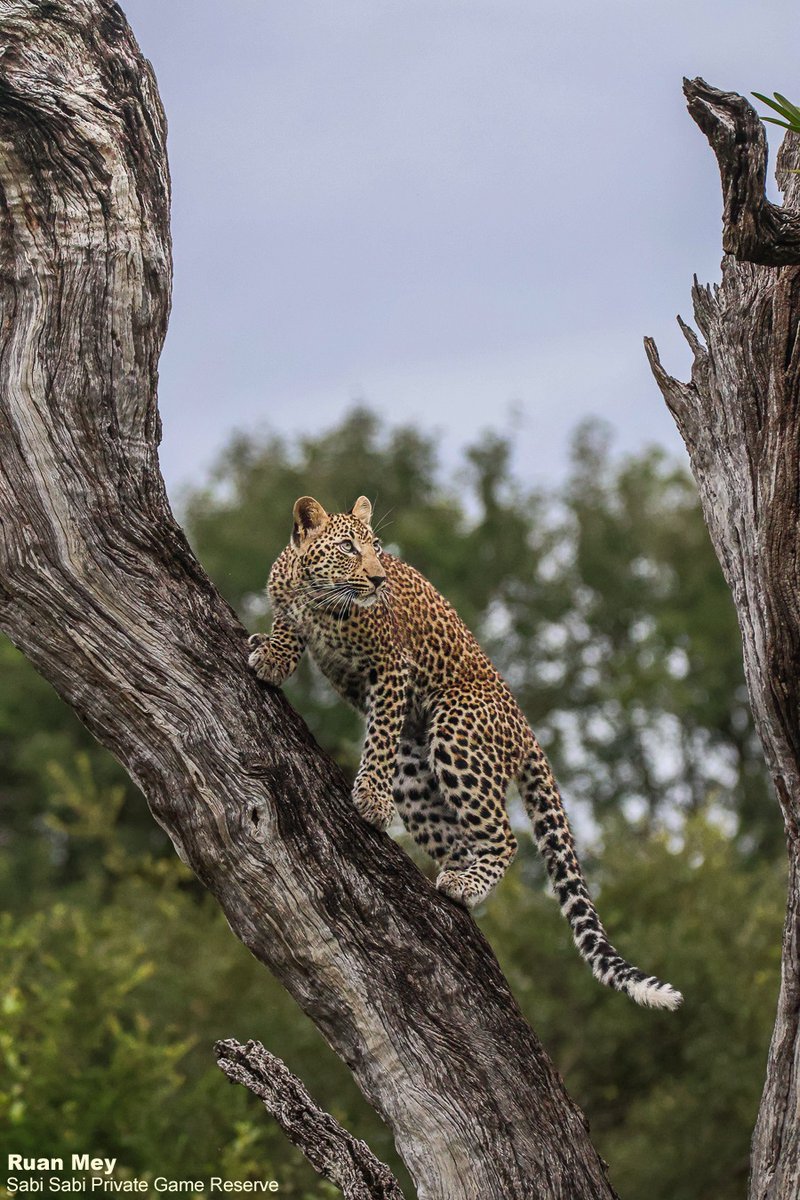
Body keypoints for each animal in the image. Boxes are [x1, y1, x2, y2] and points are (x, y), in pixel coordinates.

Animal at [248, 494, 682, 1010]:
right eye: (349, 548)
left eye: (377, 548)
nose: (378, 579)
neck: (320, 600)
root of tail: (526, 730)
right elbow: (287, 623)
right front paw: (272, 654)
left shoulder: (393, 666)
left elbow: (379, 736)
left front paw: (370, 796)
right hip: (414, 777)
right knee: (460, 841)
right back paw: (456, 893)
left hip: (456, 731)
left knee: (505, 838)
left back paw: (463, 883)